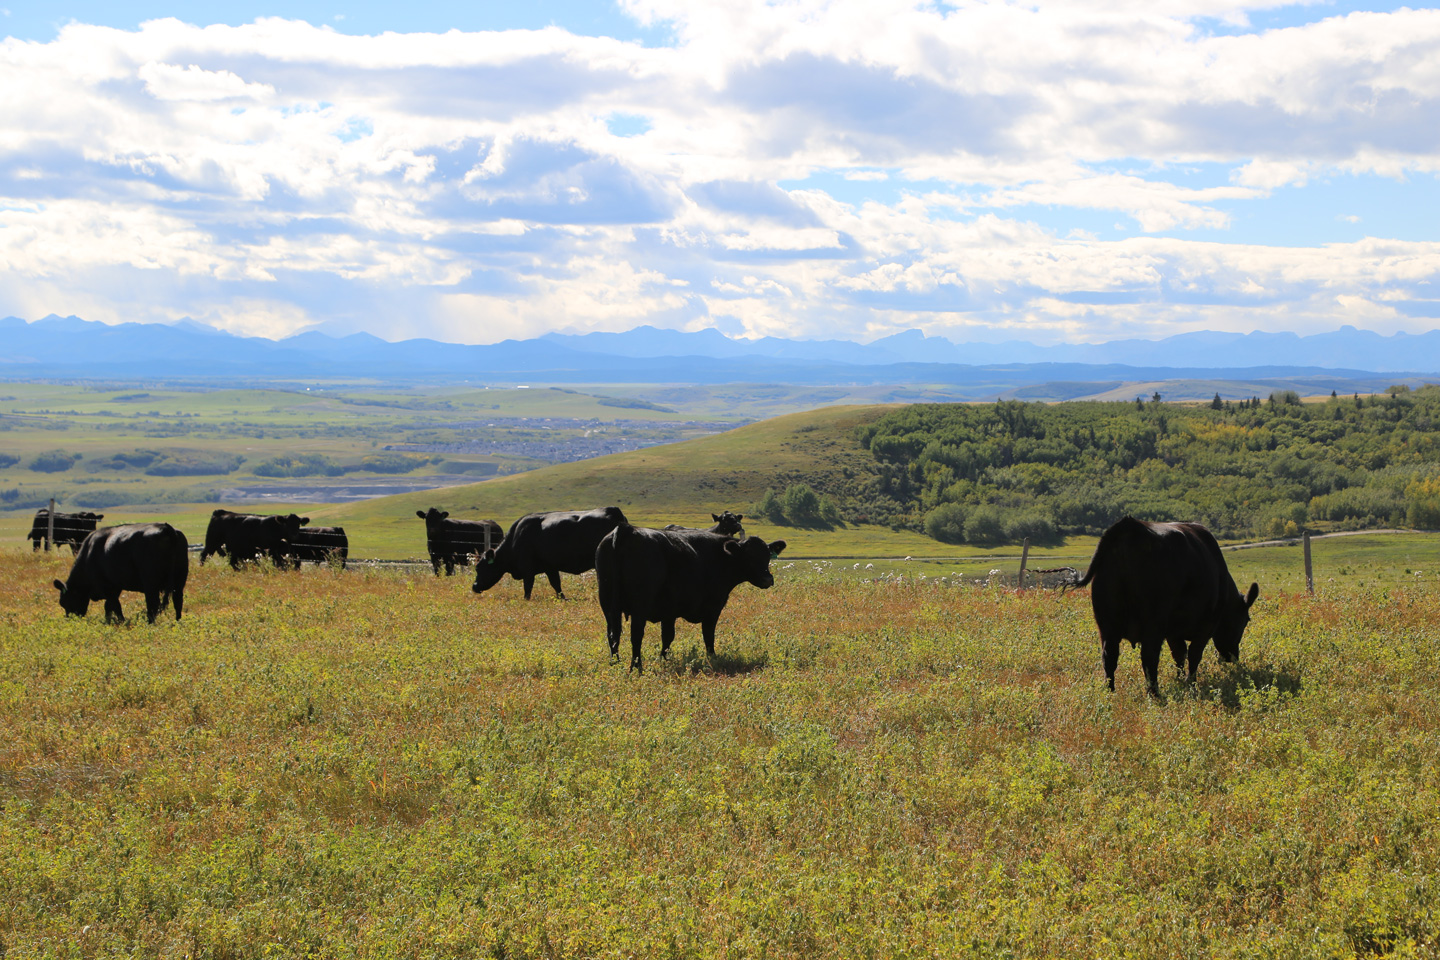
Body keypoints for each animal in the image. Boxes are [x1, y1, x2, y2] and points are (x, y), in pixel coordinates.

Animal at [52, 521, 190, 627]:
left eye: (64, 602)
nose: (70, 620)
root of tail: (166, 527)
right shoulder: (115, 586)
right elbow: (109, 606)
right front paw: (109, 621)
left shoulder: (108, 587)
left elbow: (114, 605)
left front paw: (122, 622)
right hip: (180, 578)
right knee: (178, 601)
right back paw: (178, 622)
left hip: (150, 582)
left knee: (153, 603)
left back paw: (150, 624)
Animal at [475, 506, 627, 595]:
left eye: (479, 567)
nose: (474, 586)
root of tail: (613, 511)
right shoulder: (550, 567)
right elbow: (556, 585)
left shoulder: (527, 569)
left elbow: (528, 587)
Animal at [593, 521, 789, 673]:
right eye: (748, 556)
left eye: (767, 555)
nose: (767, 579)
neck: (720, 557)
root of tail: (625, 529)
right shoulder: (713, 606)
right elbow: (708, 635)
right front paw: (713, 658)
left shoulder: (669, 611)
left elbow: (667, 637)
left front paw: (664, 660)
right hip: (640, 604)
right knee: (636, 635)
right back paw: (636, 667)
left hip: (608, 603)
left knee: (613, 634)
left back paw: (615, 664)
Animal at [1071, 518, 1261, 699]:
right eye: (1246, 620)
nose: (1232, 656)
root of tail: (1129, 526)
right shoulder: (1206, 626)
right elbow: (1193, 655)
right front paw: (1190, 682)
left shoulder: (1173, 632)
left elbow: (1179, 654)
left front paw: (1180, 679)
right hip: (1153, 622)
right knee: (1149, 656)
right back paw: (1154, 693)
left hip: (1107, 623)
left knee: (1109, 657)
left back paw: (1110, 692)